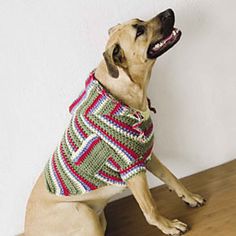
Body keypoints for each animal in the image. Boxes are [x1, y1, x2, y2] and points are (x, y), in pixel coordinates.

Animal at [23, 9, 206, 236]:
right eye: (139, 31)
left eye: (140, 21)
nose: (169, 11)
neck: (123, 92)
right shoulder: (131, 168)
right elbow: (150, 209)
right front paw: (169, 226)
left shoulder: (143, 154)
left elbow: (170, 176)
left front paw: (188, 197)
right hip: (84, 213)